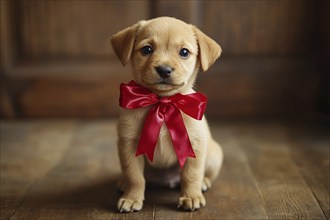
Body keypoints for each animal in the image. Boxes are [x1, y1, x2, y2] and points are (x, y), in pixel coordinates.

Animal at [111, 16, 224, 212]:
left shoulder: (194, 146)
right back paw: (123, 183)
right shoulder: (128, 146)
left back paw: (203, 183)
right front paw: (132, 198)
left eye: (184, 52)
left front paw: (191, 196)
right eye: (147, 49)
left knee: (202, 174)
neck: (163, 103)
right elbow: (134, 177)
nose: (164, 70)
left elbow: (192, 174)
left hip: (214, 156)